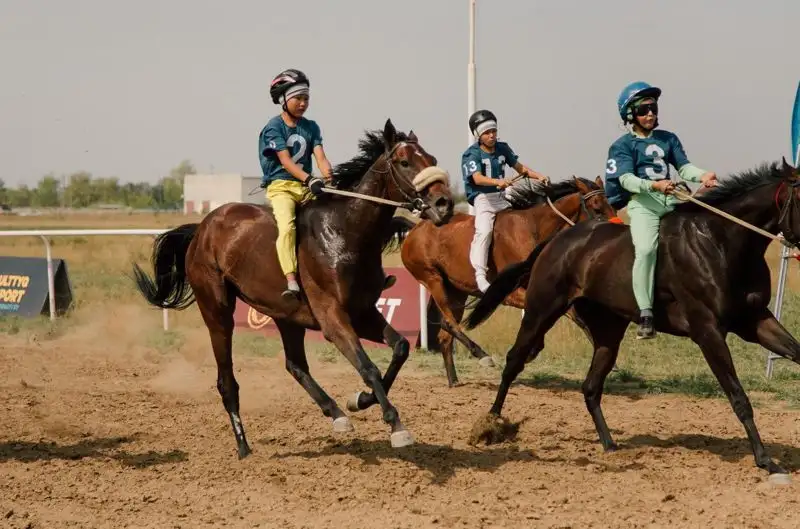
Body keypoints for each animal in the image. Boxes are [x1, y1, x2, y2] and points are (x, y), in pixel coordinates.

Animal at [134, 119, 454, 458]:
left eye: (431, 159)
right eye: (404, 162)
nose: (444, 204)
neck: (345, 232)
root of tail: (201, 229)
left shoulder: (363, 312)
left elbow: (400, 348)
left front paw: (360, 400)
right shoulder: (333, 318)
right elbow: (368, 367)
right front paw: (396, 425)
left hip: (287, 315)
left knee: (295, 364)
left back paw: (337, 414)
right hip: (216, 311)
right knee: (227, 381)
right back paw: (243, 446)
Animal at [396, 175, 616, 386]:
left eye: (612, 206)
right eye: (597, 208)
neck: (533, 229)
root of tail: (415, 228)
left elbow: (573, 316)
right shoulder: (511, 293)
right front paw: (532, 349)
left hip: (457, 291)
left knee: (444, 335)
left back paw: (454, 380)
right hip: (432, 278)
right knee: (449, 323)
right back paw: (482, 355)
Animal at [462, 157, 800, 478]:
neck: (720, 242)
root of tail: (556, 241)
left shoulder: (755, 321)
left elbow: (794, 352)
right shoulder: (708, 331)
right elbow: (738, 396)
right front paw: (765, 459)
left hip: (607, 332)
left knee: (590, 387)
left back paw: (609, 444)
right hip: (541, 310)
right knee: (514, 361)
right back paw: (491, 422)